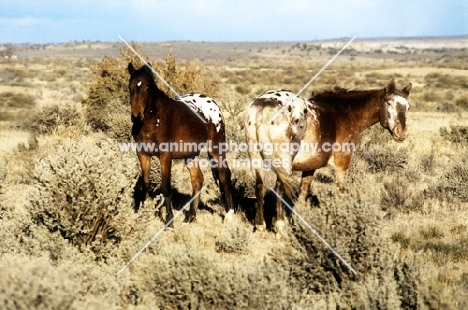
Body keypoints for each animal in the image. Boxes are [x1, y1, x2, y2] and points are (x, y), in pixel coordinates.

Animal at [128, 62, 234, 223]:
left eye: (147, 87)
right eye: (130, 87)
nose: (136, 116)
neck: (154, 121)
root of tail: (213, 104)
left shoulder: (165, 156)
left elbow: (166, 187)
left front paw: (169, 219)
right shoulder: (142, 154)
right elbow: (145, 185)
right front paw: (143, 215)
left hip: (216, 149)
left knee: (224, 176)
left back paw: (229, 215)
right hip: (191, 154)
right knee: (197, 180)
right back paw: (191, 216)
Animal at [247, 78, 412, 231]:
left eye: (408, 107)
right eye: (389, 103)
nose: (401, 133)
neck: (346, 112)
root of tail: (264, 104)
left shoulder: (310, 167)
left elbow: (302, 194)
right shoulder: (342, 163)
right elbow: (340, 192)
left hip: (256, 158)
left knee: (260, 186)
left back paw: (261, 225)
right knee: (279, 188)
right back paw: (280, 226)